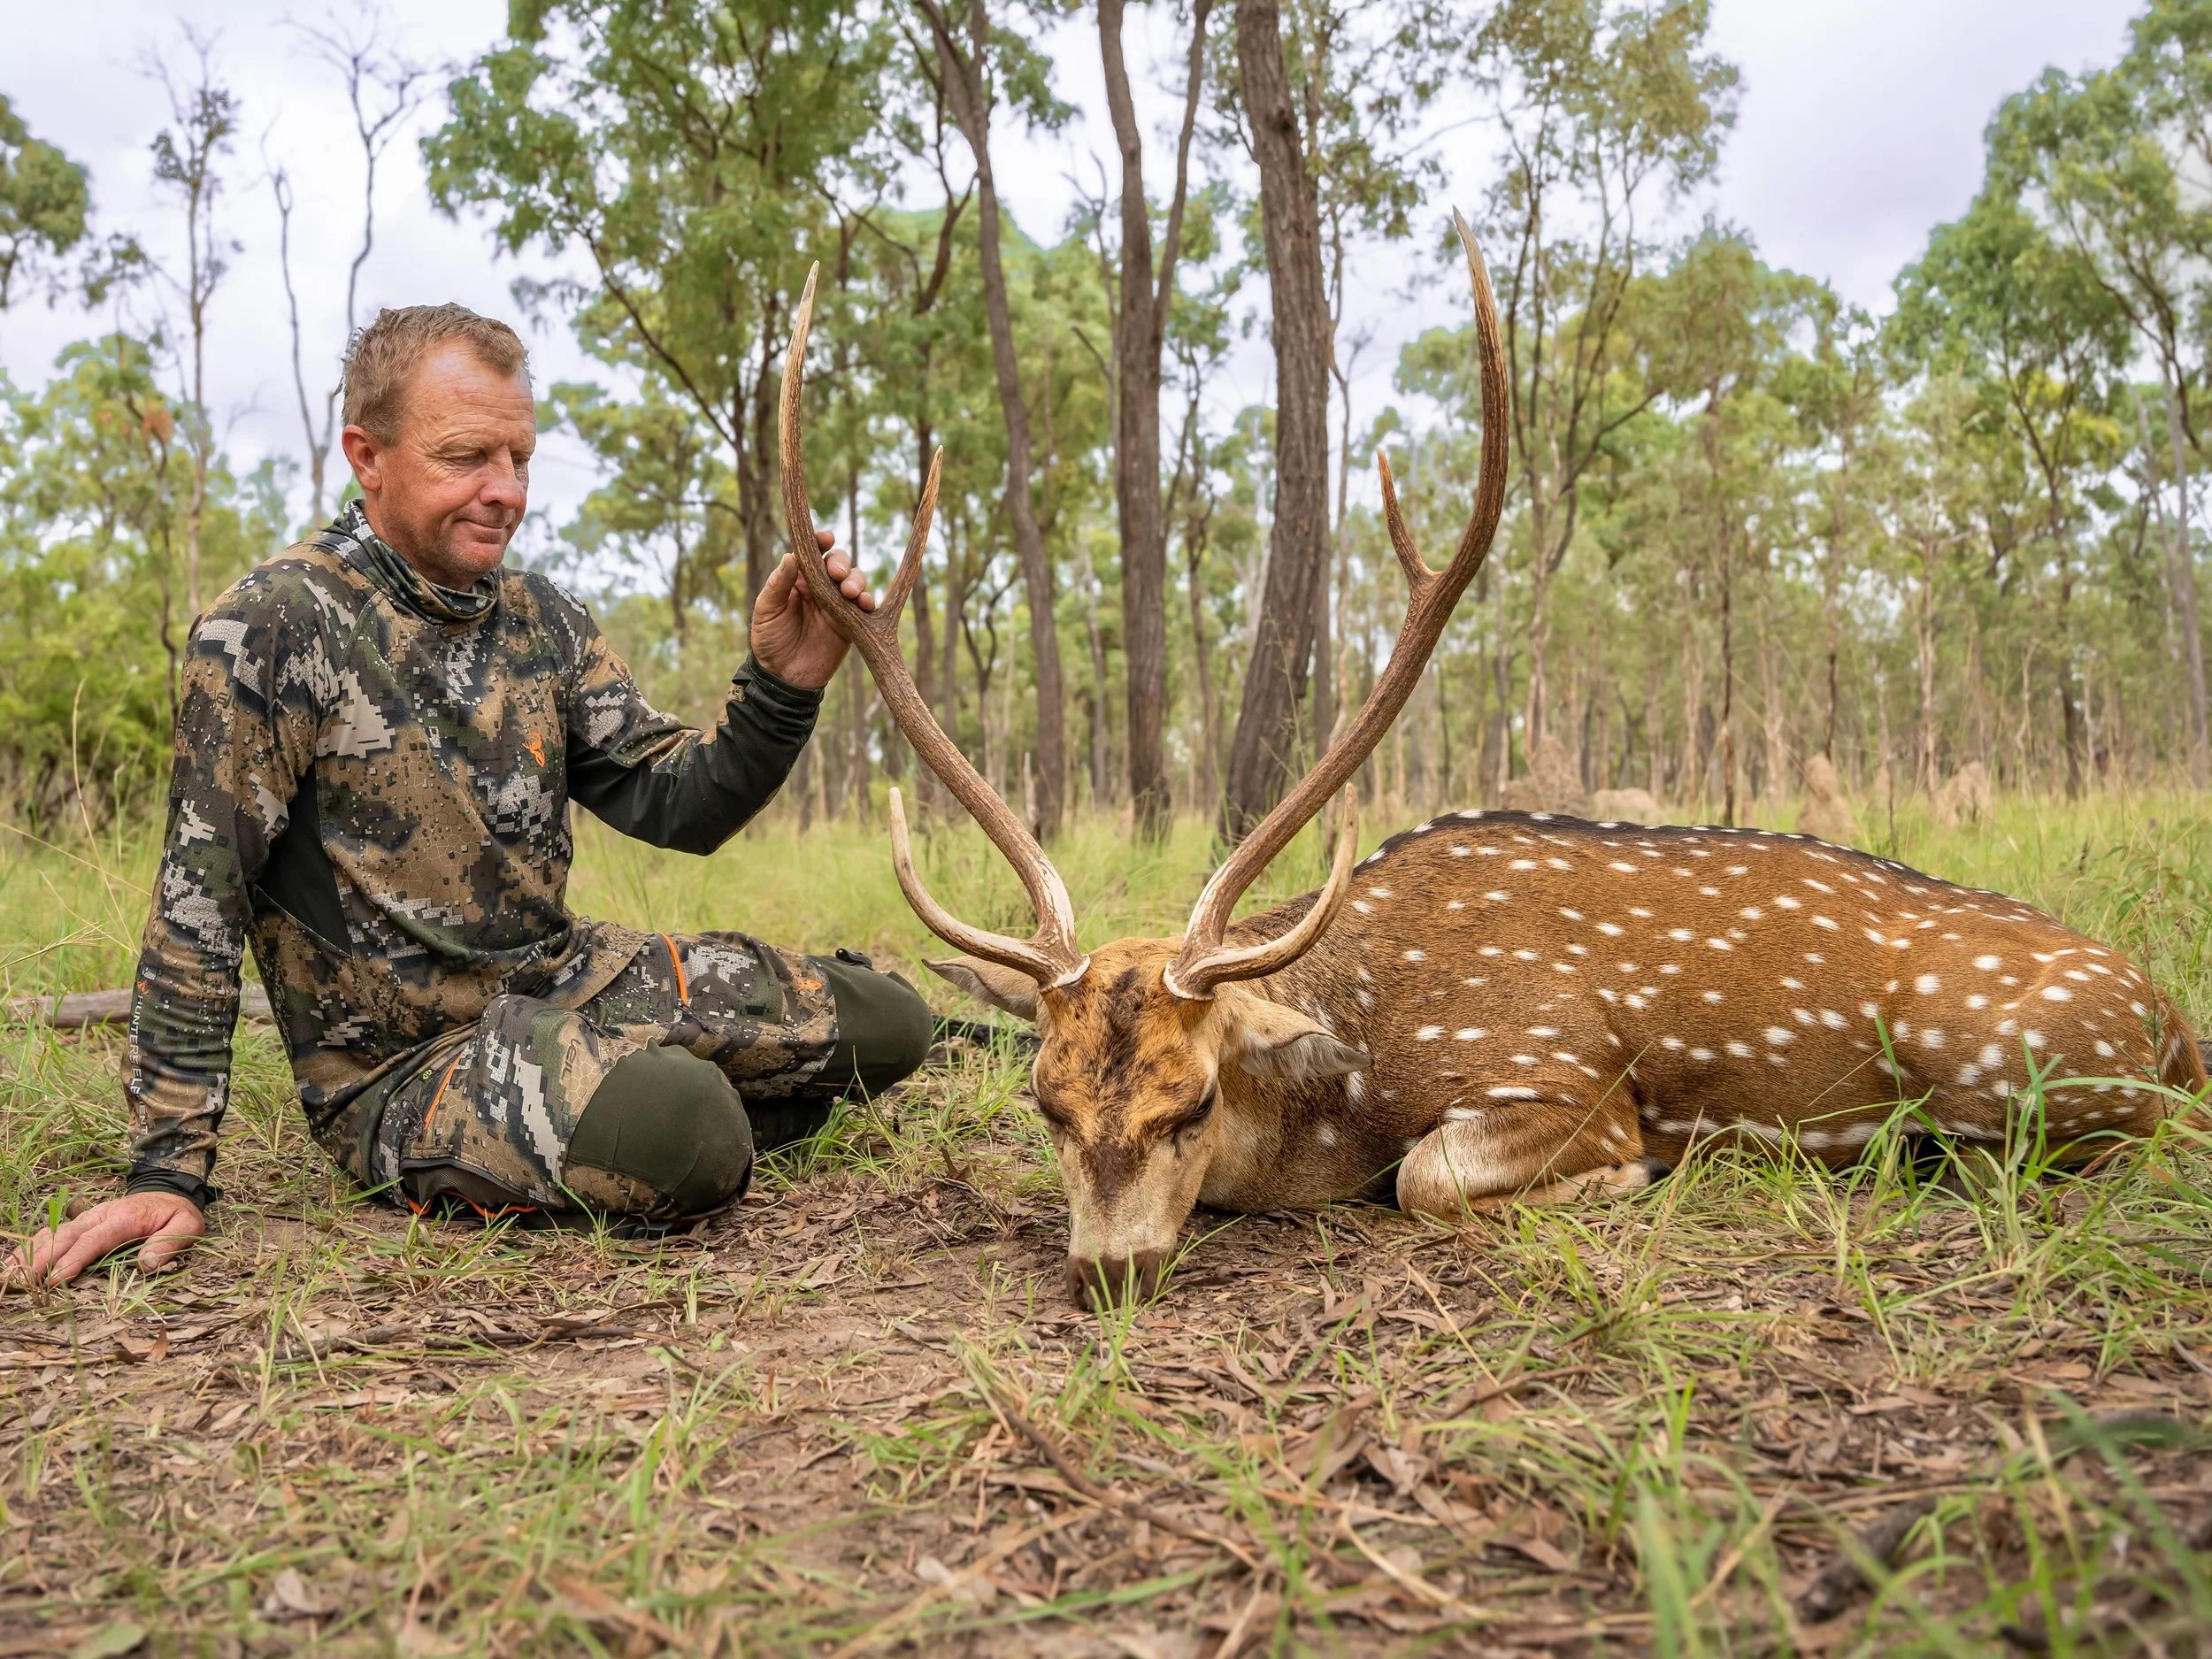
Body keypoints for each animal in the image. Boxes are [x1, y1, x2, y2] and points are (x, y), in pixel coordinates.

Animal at [777, 219, 2209, 1308]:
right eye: (1043, 1102)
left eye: (1192, 1102)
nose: (1107, 1270)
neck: (1353, 1074)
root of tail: (2174, 1020)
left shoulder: (1558, 1071)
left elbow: (1431, 1177)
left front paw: (1630, 1178)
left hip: (2003, 1058)